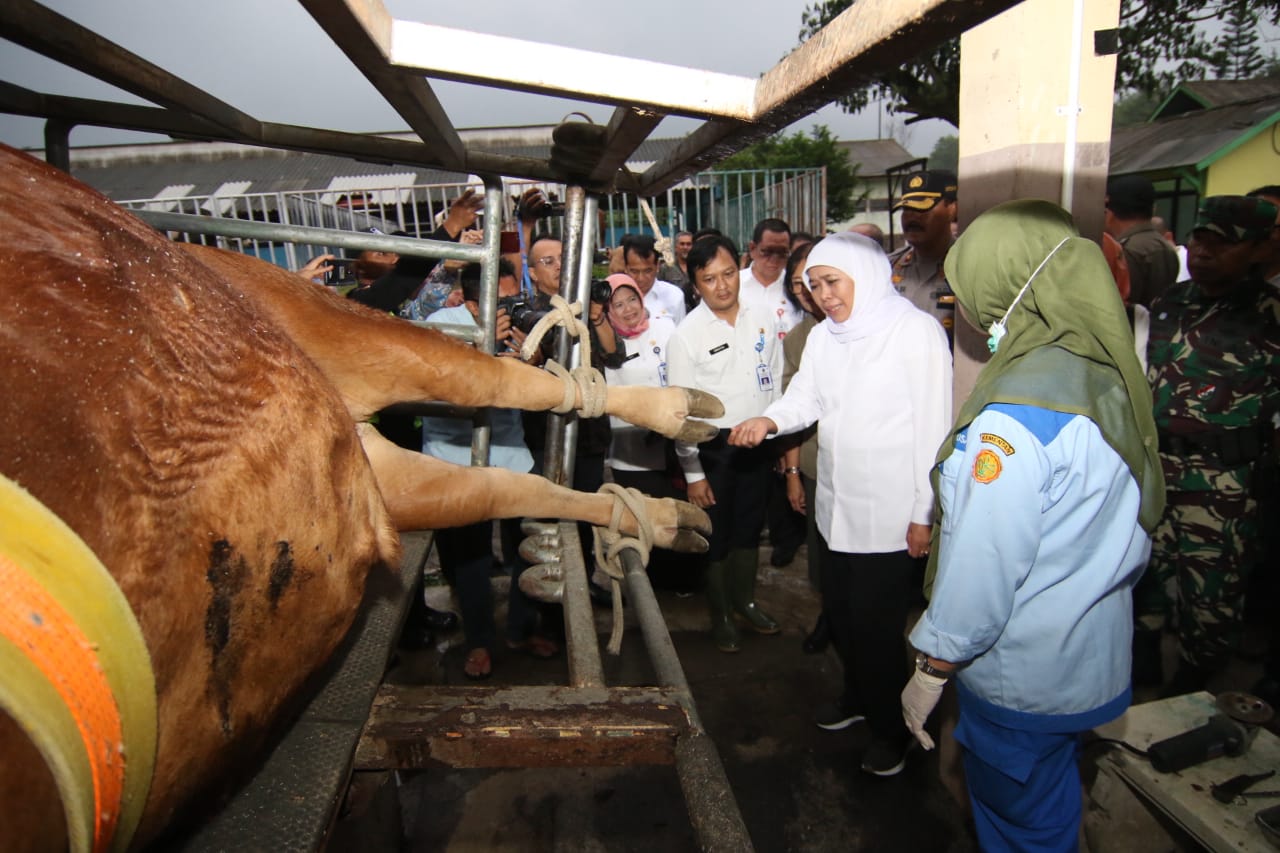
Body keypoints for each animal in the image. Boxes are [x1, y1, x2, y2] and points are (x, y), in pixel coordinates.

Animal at [0, 142, 721, 845]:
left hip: (323, 322)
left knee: (504, 383)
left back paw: (679, 414)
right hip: (366, 473)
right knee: (497, 481)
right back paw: (662, 513)